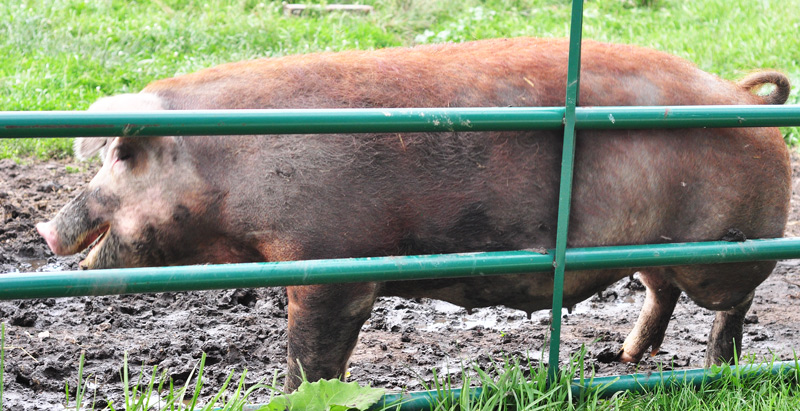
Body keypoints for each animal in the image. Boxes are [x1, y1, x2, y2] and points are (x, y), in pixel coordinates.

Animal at [36, 38, 791, 391]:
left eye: (121, 158)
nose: (43, 228)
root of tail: (742, 97)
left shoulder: (335, 262)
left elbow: (313, 353)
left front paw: (291, 394)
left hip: (730, 247)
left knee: (732, 303)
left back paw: (719, 369)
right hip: (654, 249)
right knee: (659, 289)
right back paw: (628, 358)